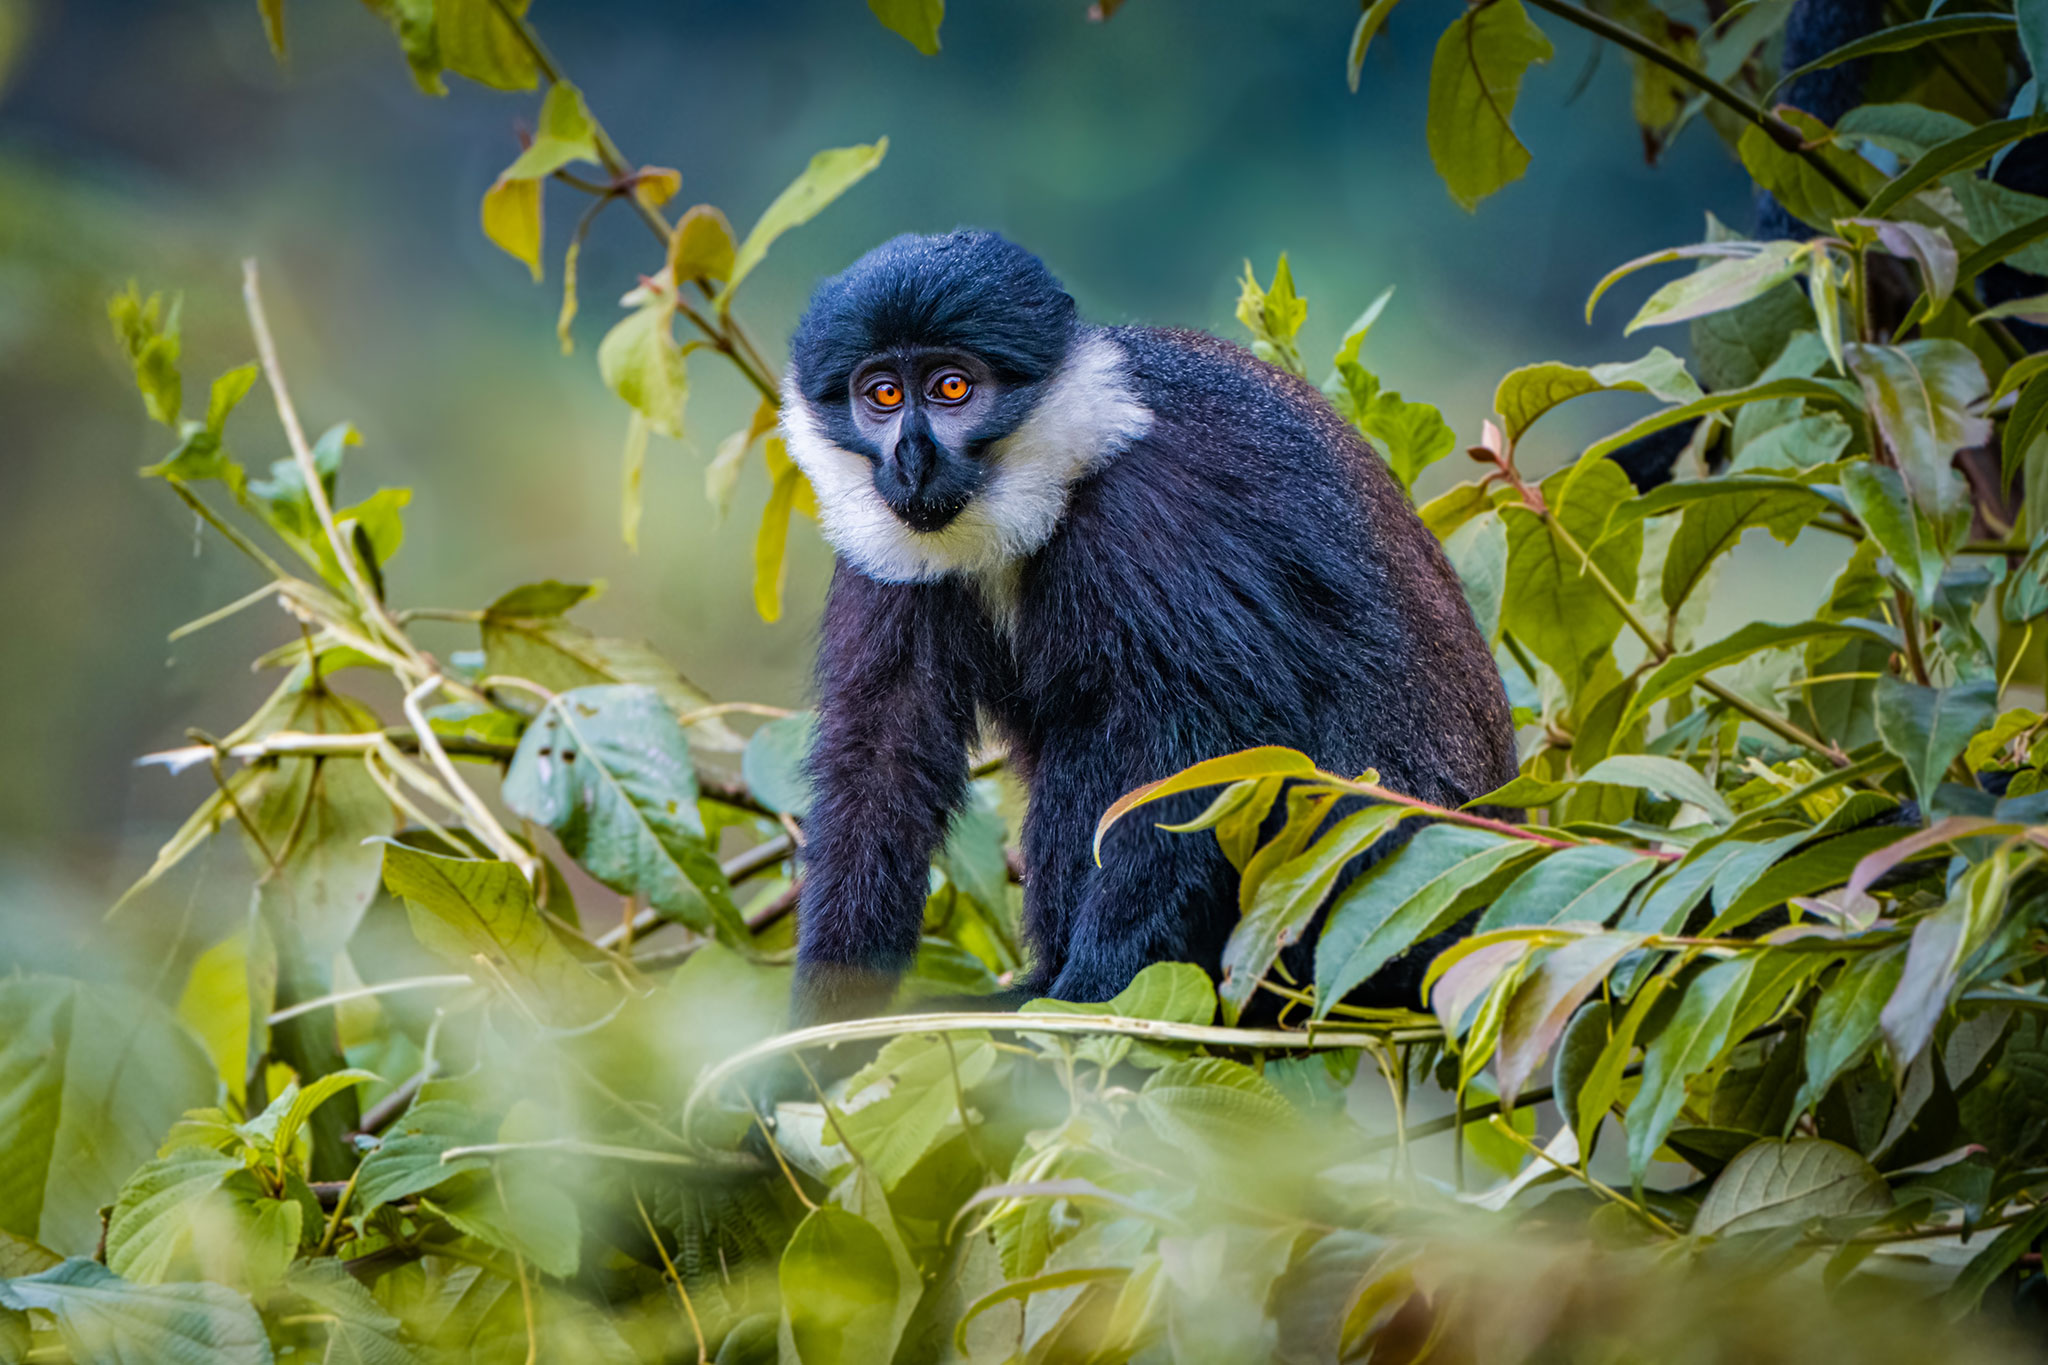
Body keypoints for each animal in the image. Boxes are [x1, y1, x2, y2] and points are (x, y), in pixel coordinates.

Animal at [778, 230, 1520, 1026]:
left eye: (952, 388)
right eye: (883, 394)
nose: (911, 459)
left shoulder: (1149, 512)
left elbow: (1201, 744)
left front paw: (1094, 998)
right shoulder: (884, 545)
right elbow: (883, 755)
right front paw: (822, 1024)